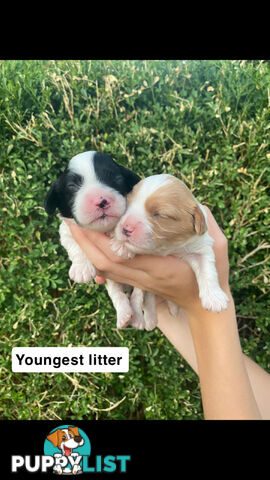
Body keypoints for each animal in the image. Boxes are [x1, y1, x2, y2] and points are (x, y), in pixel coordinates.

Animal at [44, 152, 142, 328]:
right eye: (72, 186)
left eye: (117, 178)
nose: (101, 201)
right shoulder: (67, 231)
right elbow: (75, 247)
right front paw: (81, 269)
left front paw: (122, 244)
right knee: (116, 293)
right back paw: (124, 315)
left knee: (138, 295)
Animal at [110, 174, 229, 332]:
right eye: (127, 205)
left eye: (160, 214)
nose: (125, 228)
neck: (168, 249)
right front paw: (120, 245)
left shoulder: (200, 246)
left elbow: (207, 270)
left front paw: (214, 298)